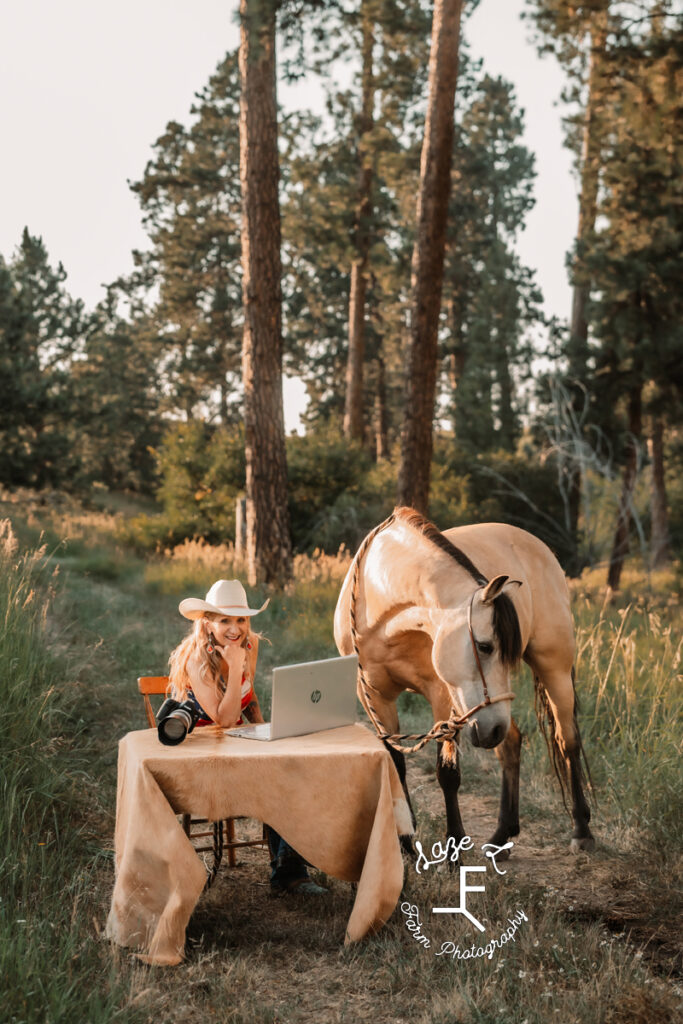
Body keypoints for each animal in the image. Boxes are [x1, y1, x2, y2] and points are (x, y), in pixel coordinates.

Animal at [333, 509, 593, 856]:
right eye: (485, 646)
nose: (491, 729)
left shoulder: (442, 696)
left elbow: (447, 773)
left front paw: (454, 846)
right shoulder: (374, 696)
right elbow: (395, 763)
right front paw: (405, 843)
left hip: (552, 669)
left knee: (567, 741)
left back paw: (581, 829)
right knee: (510, 743)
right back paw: (501, 835)